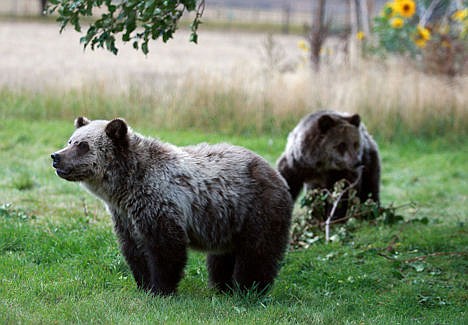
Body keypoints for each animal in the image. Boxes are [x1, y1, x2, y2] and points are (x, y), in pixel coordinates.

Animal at [51, 117, 292, 296]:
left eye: (83, 145)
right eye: (70, 141)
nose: (56, 157)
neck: (125, 186)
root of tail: (276, 173)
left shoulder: (159, 201)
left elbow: (165, 249)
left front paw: (161, 289)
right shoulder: (125, 216)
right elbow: (133, 250)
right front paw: (144, 285)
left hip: (256, 208)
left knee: (257, 253)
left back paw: (249, 290)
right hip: (226, 220)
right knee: (222, 258)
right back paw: (223, 287)